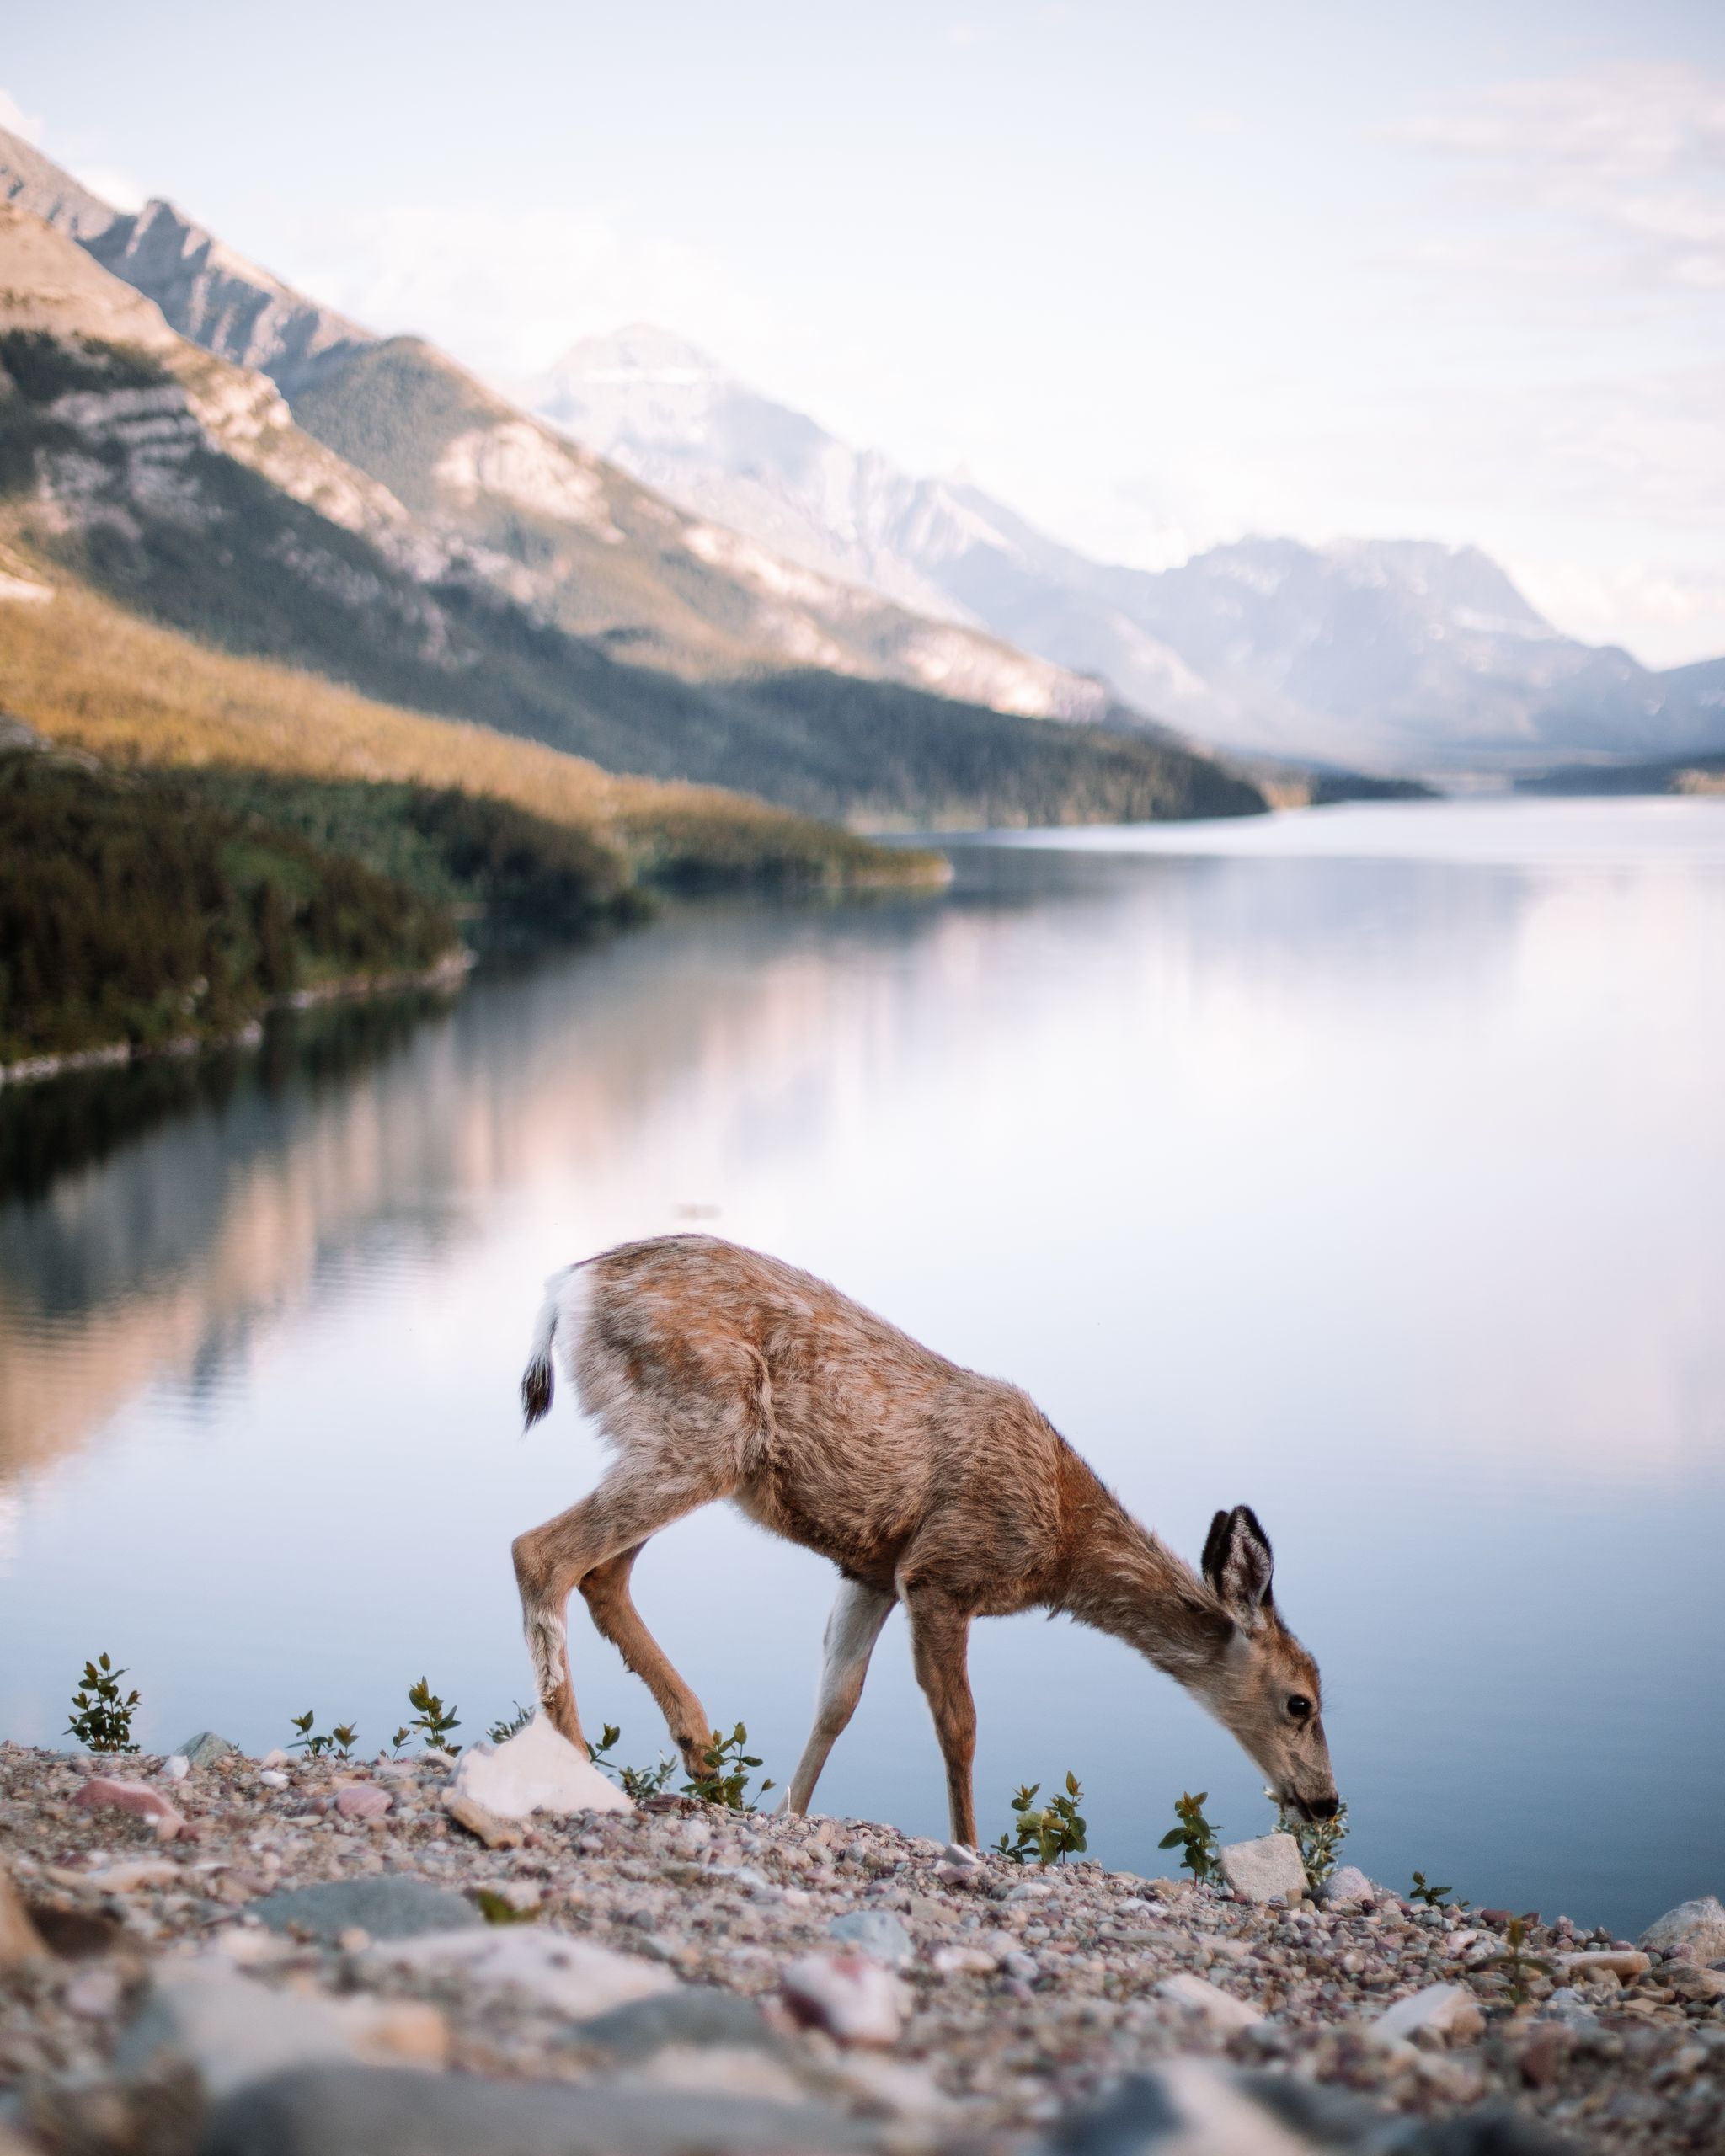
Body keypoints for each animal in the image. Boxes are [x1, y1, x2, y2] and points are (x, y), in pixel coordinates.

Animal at [512, 1234, 1337, 1846]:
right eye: (1300, 1701)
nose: (1327, 1803)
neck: (1061, 1543)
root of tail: (564, 1292)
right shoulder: (942, 1571)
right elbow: (959, 1725)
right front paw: (968, 1846)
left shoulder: (872, 1570)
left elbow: (836, 1700)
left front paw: (790, 1813)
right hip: (702, 1434)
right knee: (542, 1551)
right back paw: (580, 1760)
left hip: (674, 1448)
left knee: (602, 1574)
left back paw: (701, 1752)